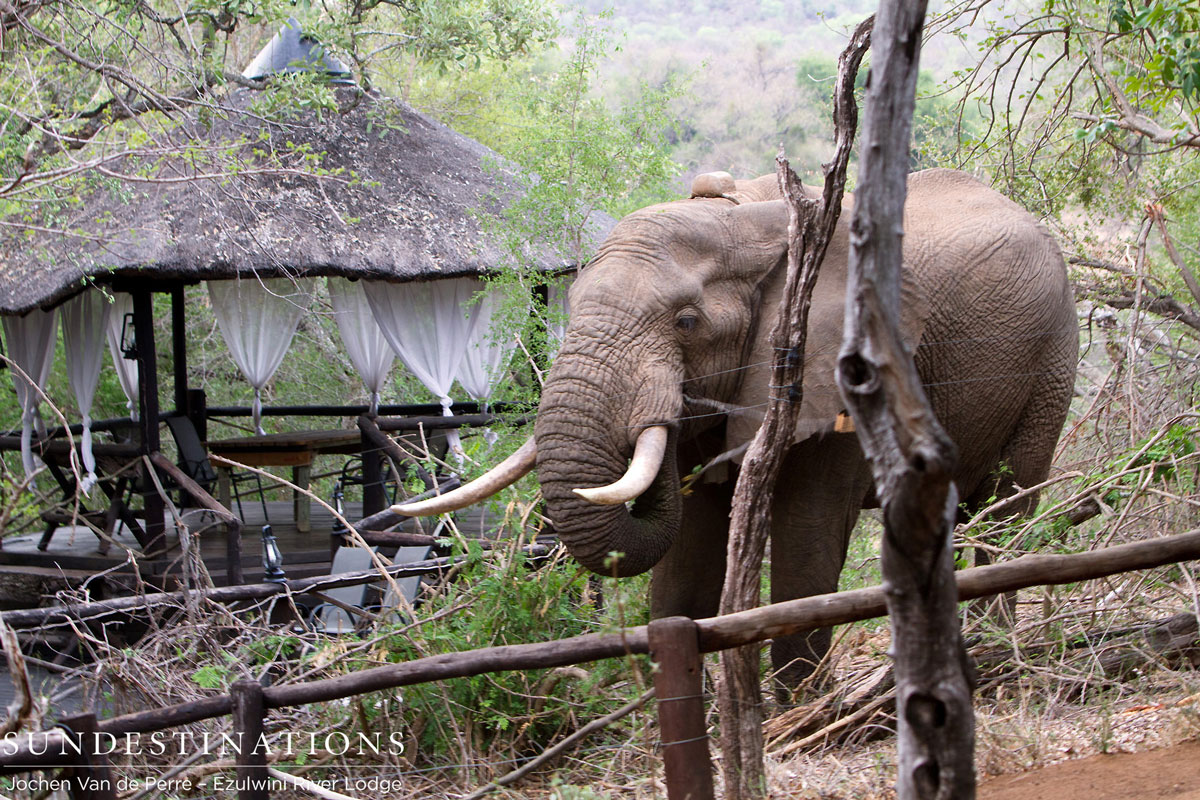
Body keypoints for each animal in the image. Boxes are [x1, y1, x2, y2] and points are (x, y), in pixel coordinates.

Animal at [394, 167, 1079, 691]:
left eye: (687, 323)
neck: (747, 221)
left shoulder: (843, 374)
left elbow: (806, 540)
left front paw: (799, 711)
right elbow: (687, 553)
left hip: (1051, 358)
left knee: (1008, 506)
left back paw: (995, 657)